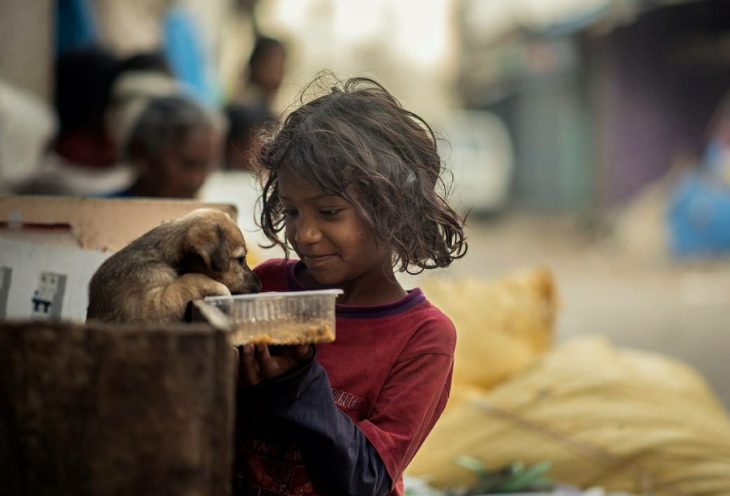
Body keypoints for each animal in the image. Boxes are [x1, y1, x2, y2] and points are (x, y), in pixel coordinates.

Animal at [86, 207, 260, 324]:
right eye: (241, 259)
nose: (260, 286)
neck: (162, 257)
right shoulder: (152, 309)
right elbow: (190, 280)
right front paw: (223, 292)